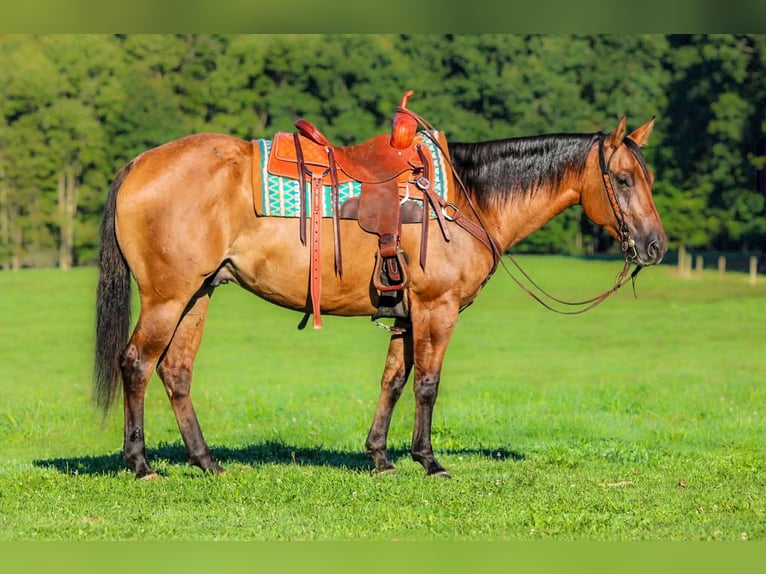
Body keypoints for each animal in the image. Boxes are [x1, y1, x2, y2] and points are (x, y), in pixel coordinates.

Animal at [94, 115, 666, 479]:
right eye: (622, 179)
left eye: (649, 178)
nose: (655, 246)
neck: (466, 200)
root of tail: (138, 163)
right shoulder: (437, 309)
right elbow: (428, 385)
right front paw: (429, 461)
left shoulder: (407, 315)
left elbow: (393, 381)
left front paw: (381, 457)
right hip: (168, 297)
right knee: (137, 363)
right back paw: (141, 464)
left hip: (199, 294)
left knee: (176, 372)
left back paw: (207, 462)